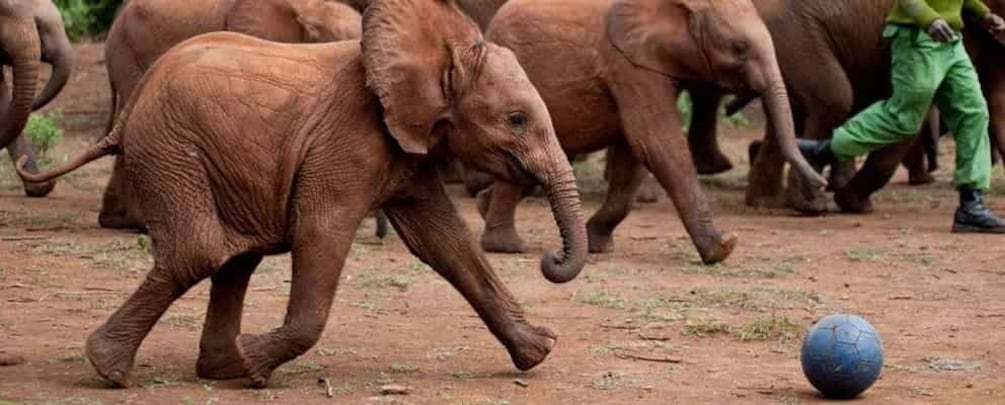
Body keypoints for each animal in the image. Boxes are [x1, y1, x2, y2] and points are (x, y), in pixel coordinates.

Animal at [474, 0, 828, 265]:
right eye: (738, 48)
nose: (821, 185)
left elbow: (633, 154)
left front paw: (598, 244)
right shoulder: (630, 66)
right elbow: (656, 142)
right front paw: (723, 247)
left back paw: (482, 207)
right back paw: (506, 246)